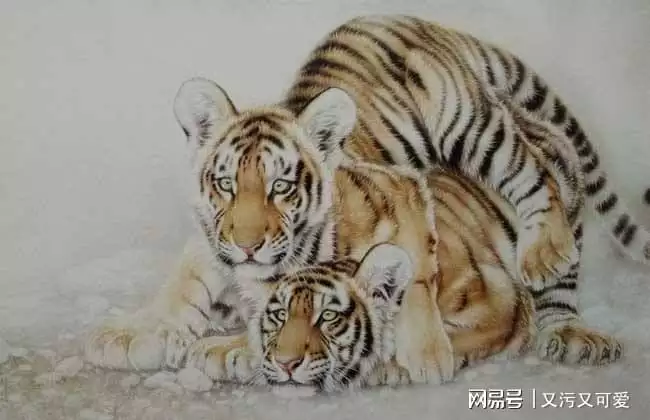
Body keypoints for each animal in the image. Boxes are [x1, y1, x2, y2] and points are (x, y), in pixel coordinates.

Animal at [84, 14, 646, 381]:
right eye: (225, 183)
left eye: (281, 187)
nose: (246, 245)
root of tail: (404, 18)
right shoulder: (213, 240)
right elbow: (187, 280)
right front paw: (135, 335)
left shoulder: (407, 201)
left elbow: (414, 281)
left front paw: (420, 357)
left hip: (470, 124)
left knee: (531, 176)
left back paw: (553, 276)